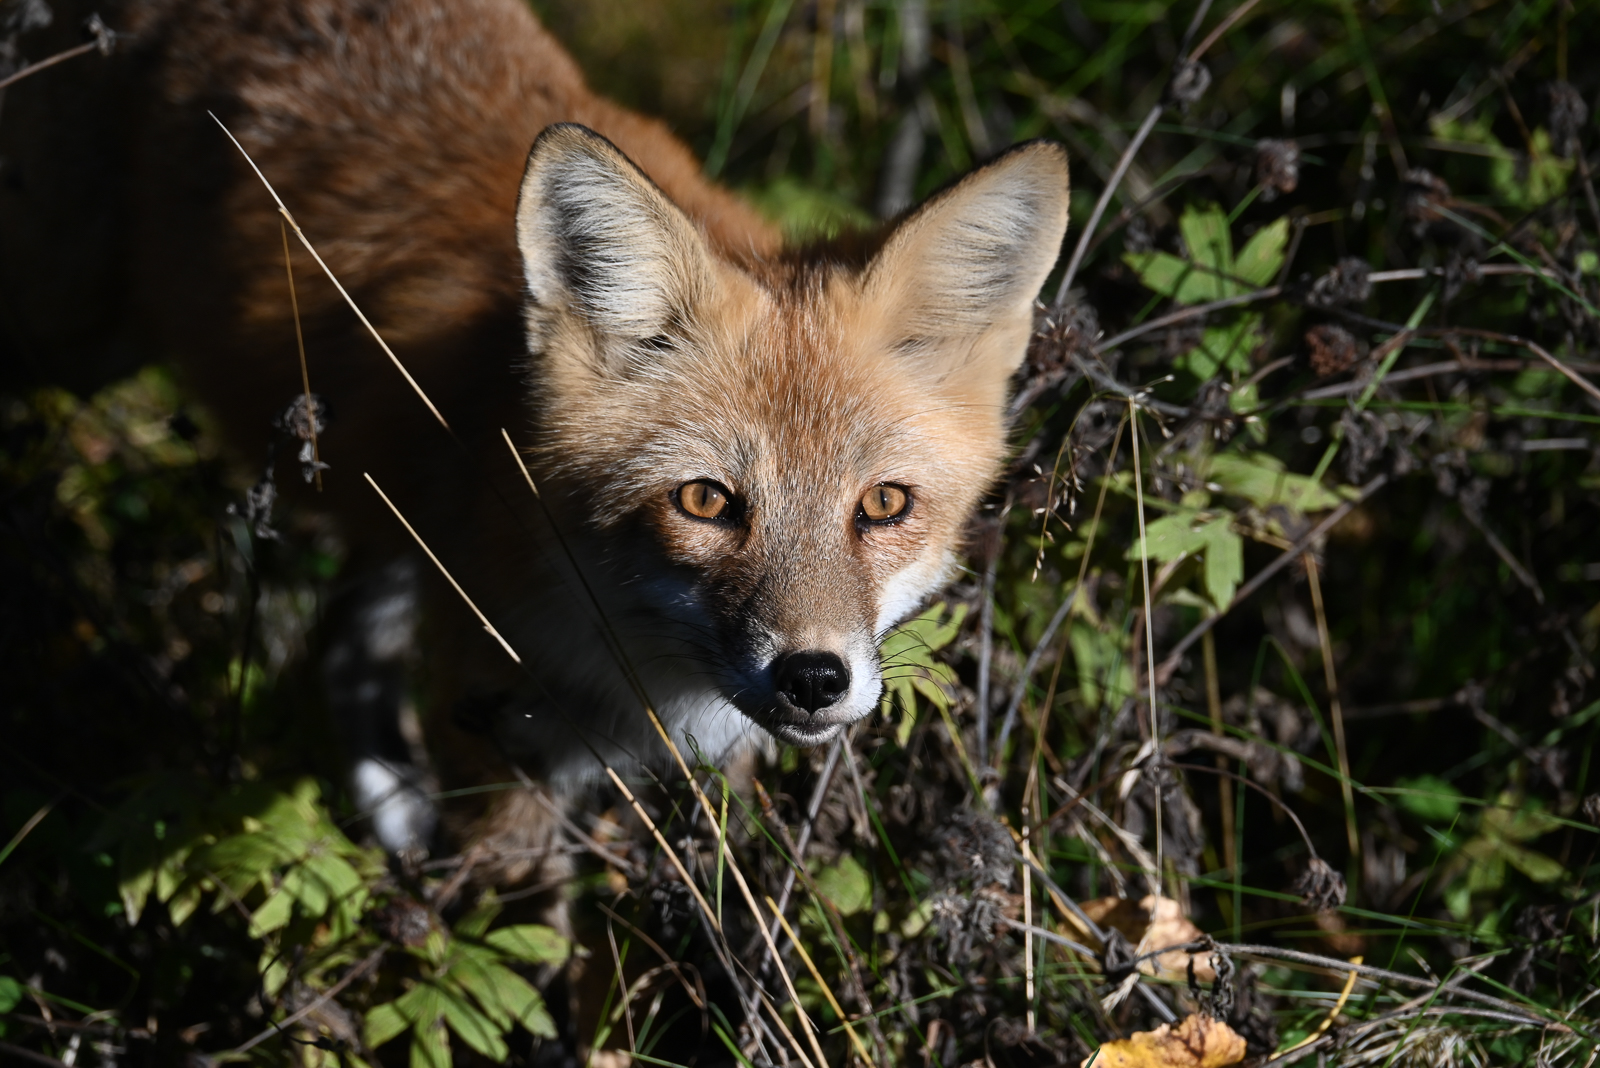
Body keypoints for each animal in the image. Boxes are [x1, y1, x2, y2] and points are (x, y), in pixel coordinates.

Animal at [0, 0, 1069, 883]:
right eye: (706, 501)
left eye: (883, 505)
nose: (812, 680)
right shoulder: (500, 734)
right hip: (68, 336)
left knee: (344, 647)